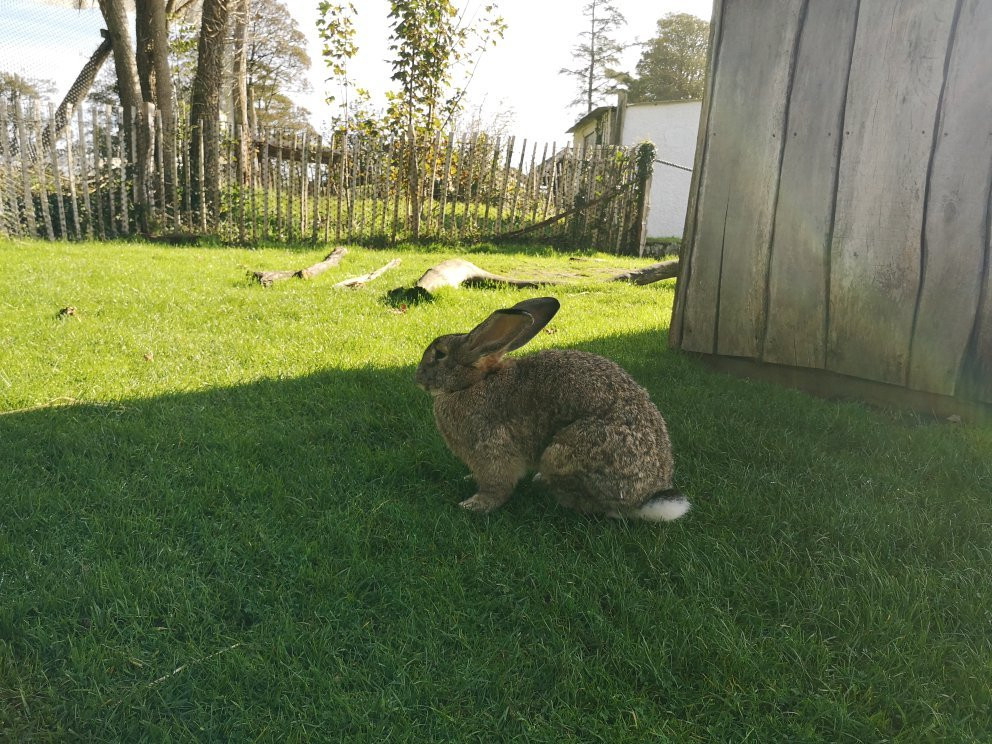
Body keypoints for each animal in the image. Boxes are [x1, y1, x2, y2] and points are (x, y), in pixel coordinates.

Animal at [412, 296, 688, 524]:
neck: (472, 383)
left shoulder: (491, 447)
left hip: (564, 452)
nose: (418, 378)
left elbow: (497, 487)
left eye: (439, 354)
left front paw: (473, 505)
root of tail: (643, 500)